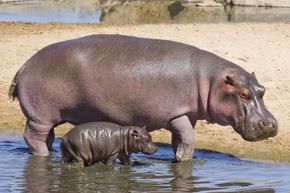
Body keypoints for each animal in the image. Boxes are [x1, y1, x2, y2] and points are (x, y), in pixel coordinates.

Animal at [9, 34, 278, 161]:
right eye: (243, 93)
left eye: (262, 90)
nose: (271, 124)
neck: (210, 80)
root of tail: (24, 65)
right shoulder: (177, 114)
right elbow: (188, 139)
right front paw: (184, 159)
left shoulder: (187, 115)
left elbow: (181, 140)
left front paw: (178, 157)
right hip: (41, 116)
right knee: (33, 136)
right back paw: (44, 156)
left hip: (49, 117)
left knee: (46, 137)